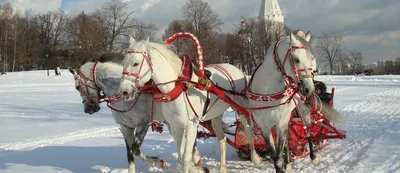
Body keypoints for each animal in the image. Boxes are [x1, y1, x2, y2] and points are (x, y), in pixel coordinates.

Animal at [68, 55, 203, 173]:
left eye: (77, 87)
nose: (88, 110)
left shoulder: (143, 124)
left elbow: (136, 150)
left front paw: (158, 162)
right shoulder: (125, 127)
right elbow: (130, 154)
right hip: (172, 123)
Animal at [118, 37, 247, 173]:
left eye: (136, 63)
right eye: (123, 63)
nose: (124, 91)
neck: (179, 86)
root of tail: (238, 69)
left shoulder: (191, 125)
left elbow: (185, 158)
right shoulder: (175, 125)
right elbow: (180, 156)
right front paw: (197, 168)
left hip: (241, 108)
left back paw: (253, 156)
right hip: (216, 116)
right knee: (222, 139)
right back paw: (222, 168)